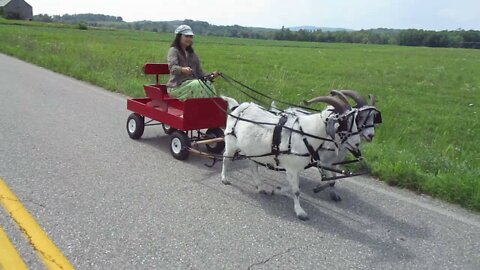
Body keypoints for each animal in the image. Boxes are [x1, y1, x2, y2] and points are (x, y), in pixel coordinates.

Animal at [221, 96, 360, 220]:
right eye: (344, 122)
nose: (358, 144)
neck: (304, 134)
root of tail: (238, 106)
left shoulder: (295, 168)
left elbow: (294, 186)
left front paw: (276, 190)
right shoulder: (291, 168)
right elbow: (296, 190)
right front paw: (300, 212)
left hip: (253, 150)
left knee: (253, 166)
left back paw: (261, 187)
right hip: (231, 143)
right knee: (225, 158)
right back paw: (225, 179)